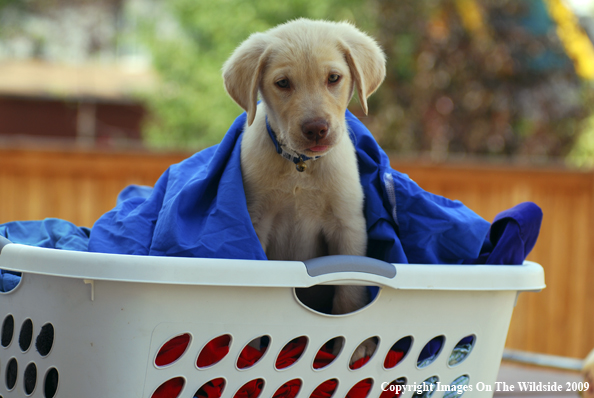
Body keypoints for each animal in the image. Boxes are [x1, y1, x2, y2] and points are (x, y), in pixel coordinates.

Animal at [222, 17, 384, 360]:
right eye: (283, 83)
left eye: (333, 78)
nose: (316, 129)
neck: (301, 167)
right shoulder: (256, 223)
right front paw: (252, 346)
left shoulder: (347, 227)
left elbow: (349, 290)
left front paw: (355, 344)